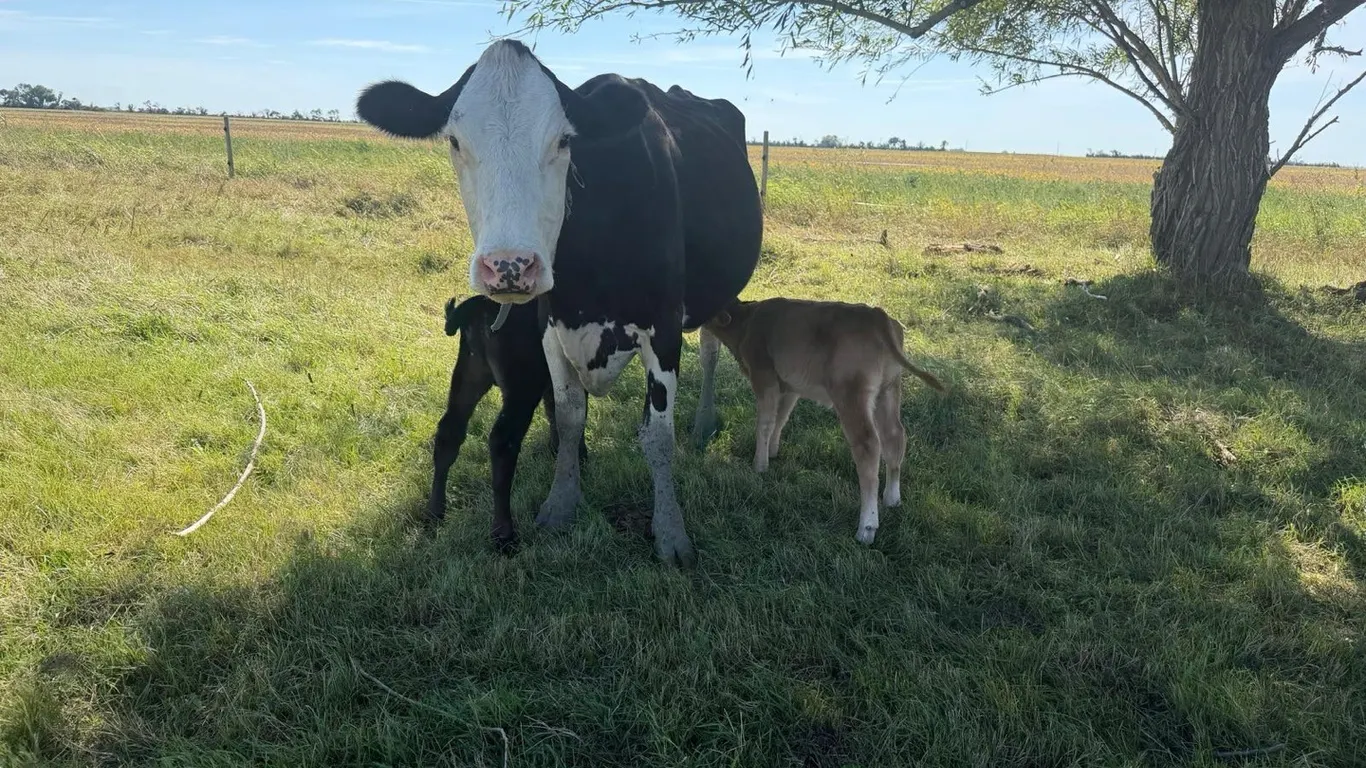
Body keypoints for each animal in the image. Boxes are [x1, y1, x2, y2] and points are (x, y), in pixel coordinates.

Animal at [430, 294, 587, 553]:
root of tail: (478, 305)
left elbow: (556, 407)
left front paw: (562, 451)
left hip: (469, 375)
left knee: (449, 431)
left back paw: (435, 513)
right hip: (521, 385)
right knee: (502, 441)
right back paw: (504, 536)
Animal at [701, 297, 947, 546]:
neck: (746, 322)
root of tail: (877, 316)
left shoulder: (764, 376)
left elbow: (765, 423)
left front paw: (759, 465)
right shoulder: (790, 386)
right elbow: (781, 418)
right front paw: (772, 451)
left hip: (851, 392)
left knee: (868, 445)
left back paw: (866, 527)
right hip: (888, 388)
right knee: (894, 435)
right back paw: (892, 498)